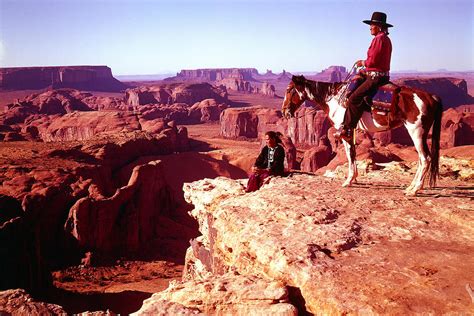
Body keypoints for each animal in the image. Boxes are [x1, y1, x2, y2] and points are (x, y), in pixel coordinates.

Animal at [282, 75, 440, 196]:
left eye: (289, 90)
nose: (284, 111)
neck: (334, 99)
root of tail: (431, 97)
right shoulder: (351, 132)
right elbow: (353, 154)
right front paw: (354, 178)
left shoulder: (344, 132)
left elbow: (349, 155)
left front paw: (348, 181)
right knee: (421, 159)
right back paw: (411, 186)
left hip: (416, 131)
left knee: (425, 158)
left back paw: (414, 190)